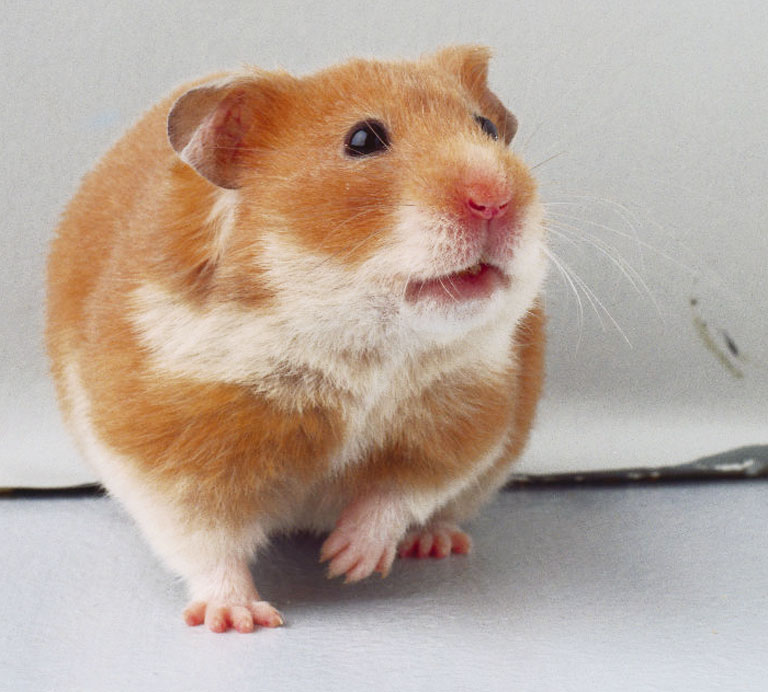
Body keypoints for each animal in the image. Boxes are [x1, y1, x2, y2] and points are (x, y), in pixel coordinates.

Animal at [45, 45, 547, 633]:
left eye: (486, 127)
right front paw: (238, 619)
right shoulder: (169, 449)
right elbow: (206, 542)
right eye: (362, 140)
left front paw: (346, 561)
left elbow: (398, 491)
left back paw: (436, 544)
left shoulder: (465, 419)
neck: (358, 346)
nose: (495, 199)